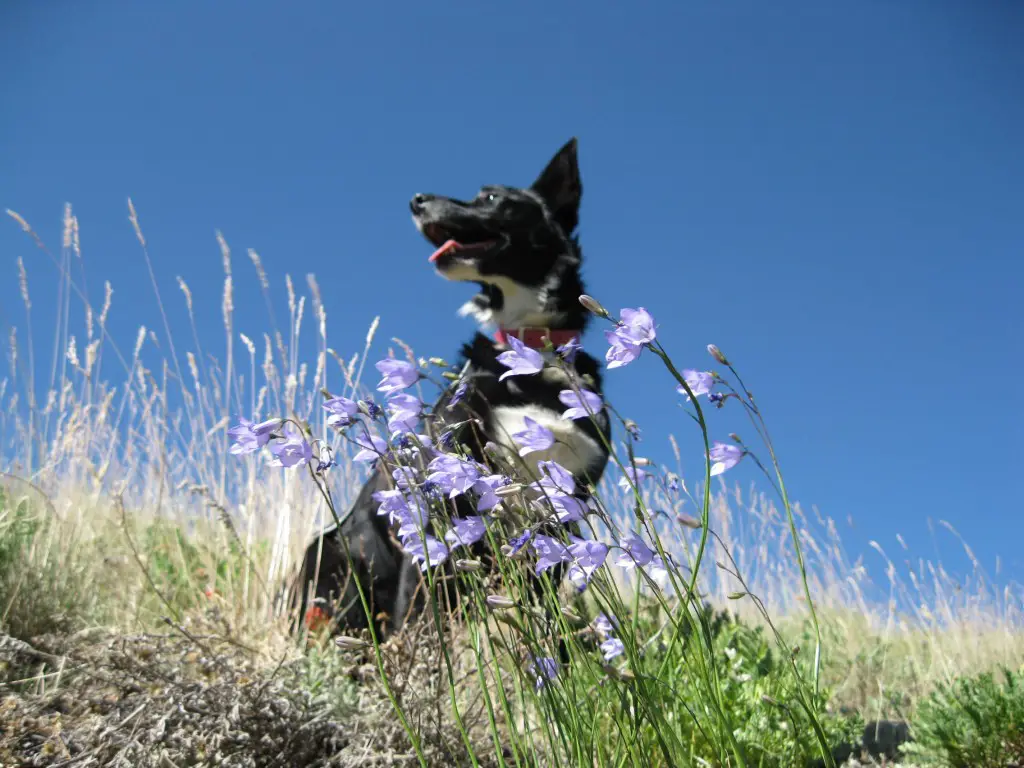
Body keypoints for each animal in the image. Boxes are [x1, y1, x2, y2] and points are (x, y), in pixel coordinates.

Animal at [292, 138, 606, 638]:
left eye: (492, 197)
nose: (416, 199)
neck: (534, 354)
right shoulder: (442, 494)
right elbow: (419, 613)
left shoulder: (565, 506)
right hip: (329, 555)